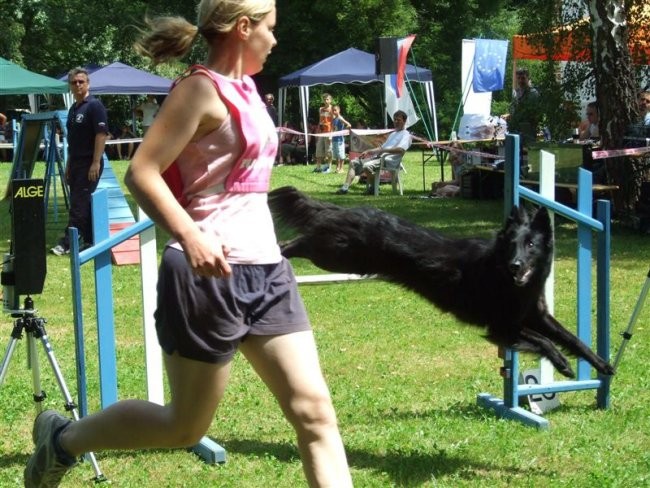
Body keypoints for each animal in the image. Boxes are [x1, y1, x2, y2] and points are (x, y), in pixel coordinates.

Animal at [268, 185, 612, 380]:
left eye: (530, 245)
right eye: (512, 245)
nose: (515, 265)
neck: (505, 277)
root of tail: (346, 210)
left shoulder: (535, 317)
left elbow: (572, 339)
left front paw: (602, 365)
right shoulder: (502, 327)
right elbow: (544, 342)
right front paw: (563, 365)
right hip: (334, 255)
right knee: (298, 240)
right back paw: (275, 252)